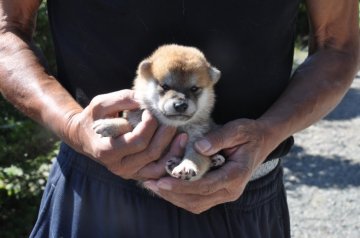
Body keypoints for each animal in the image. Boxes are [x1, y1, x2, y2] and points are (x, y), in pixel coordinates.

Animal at [95, 44, 225, 181]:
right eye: (165, 86)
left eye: (194, 88)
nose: (180, 105)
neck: (175, 126)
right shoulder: (137, 118)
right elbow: (128, 123)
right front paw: (109, 124)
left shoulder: (198, 137)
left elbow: (195, 156)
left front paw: (186, 166)